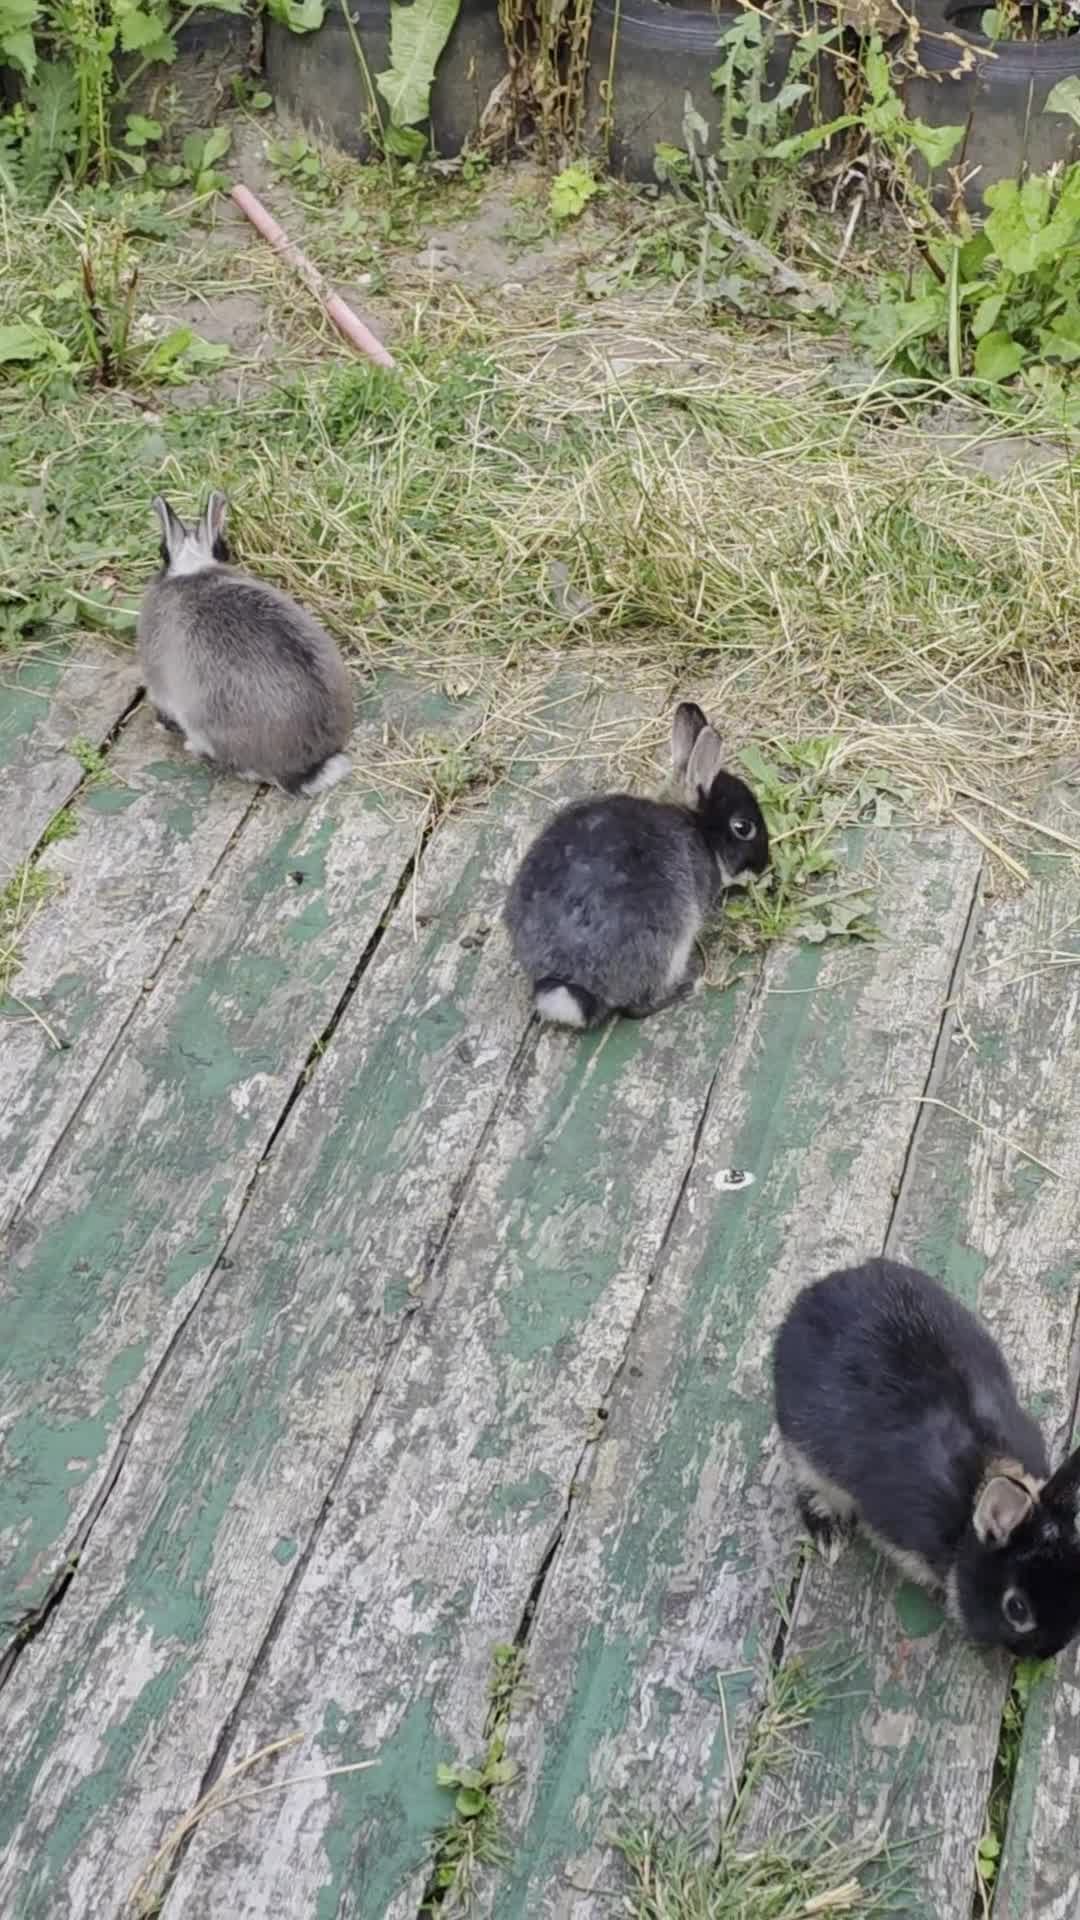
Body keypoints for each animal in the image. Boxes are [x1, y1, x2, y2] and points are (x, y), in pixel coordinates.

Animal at [505, 701, 769, 1029]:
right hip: (666, 948)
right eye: (743, 828)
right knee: (636, 1007)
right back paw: (686, 987)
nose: (764, 867)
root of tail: (570, 986)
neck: (694, 825)